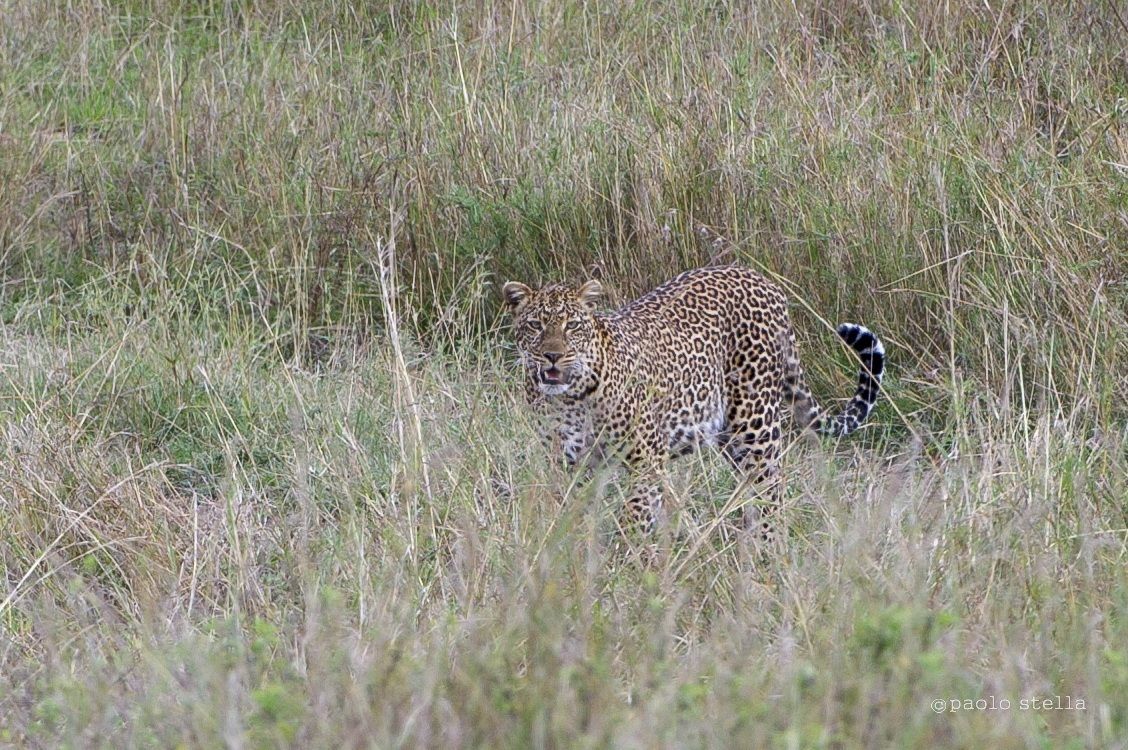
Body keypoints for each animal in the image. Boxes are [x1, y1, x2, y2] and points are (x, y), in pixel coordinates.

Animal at [502, 265, 886, 543]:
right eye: (535, 325)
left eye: (573, 326)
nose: (552, 356)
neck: (571, 399)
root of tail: (761, 279)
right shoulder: (569, 464)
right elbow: (572, 513)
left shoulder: (646, 458)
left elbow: (635, 514)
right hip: (731, 439)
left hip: (756, 426)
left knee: (771, 491)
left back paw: (768, 553)